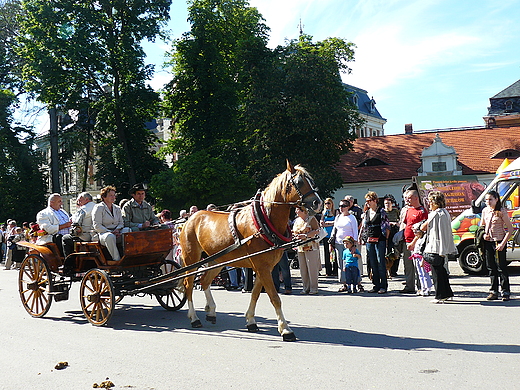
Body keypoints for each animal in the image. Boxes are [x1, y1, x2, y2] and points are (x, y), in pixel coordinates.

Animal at [181, 161, 322, 342]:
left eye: (311, 181)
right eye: (299, 182)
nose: (318, 203)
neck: (264, 222)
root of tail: (190, 219)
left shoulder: (264, 268)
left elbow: (255, 294)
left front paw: (251, 321)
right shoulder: (262, 267)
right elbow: (275, 298)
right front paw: (285, 329)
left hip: (216, 260)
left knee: (205, 281)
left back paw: (211, 311)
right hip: (191, 260)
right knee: (188, 284)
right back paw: (194, 318)